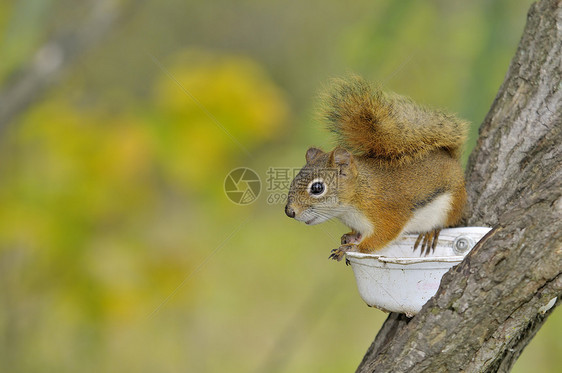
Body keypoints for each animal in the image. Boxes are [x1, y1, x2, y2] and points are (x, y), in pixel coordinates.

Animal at [282, 75, 466, 262]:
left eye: (317, 188)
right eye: (293, 180)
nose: (290, 211)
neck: (358, 194)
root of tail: (451, 159)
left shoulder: (387, 212)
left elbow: (383, 235)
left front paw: (353, 247)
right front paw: (349, 238)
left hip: (452, 204)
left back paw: (430, 233)